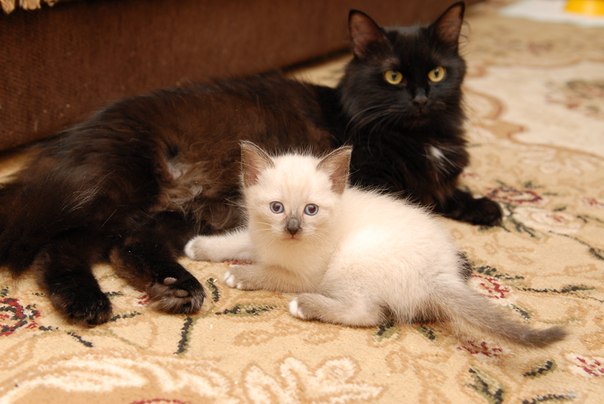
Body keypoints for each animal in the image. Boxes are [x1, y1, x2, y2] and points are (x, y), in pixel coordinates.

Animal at [0, 2, 501, 325]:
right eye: (393, 76)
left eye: (437, 72)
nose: (421, 97)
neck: (417, 135)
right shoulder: (378, 180)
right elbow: (426, 203)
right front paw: (468, 239)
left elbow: (448, 192)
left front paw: (484, 206)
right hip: (119, 192)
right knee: (60, 247)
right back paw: (94, 303)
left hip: (174, 212)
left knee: (116, 247)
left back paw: (169, 288)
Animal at [185, 142, 565, 347]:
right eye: (276, 208)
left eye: (311, 210)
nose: (293, 228)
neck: (279, 243)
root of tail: (441, 275)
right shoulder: (260, 236)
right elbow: (234, 242)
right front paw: (197, 248)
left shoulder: (303, 274)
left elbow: (268, 272)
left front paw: (238, 275)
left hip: (351, 258)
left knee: (368, 314)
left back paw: (305, 305)